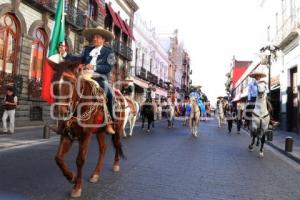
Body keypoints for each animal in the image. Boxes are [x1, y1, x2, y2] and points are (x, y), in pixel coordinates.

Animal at [48, 59, 126, 197]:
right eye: (53, 81)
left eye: (72, 82)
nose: (61, 112)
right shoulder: (67, 134)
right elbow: (58, 158)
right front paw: (71, 177)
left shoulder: (86, 135)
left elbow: (80, 160)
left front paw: (77, 187)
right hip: (100, 131)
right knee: (103, 149)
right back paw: (95, 174)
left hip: (118, 129)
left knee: (117, 144)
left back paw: (116, 165)